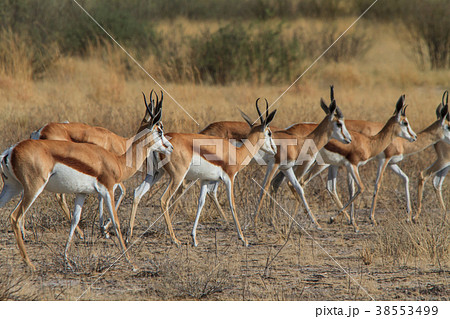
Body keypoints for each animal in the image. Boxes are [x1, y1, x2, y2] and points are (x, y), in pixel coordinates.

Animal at [0, 93, 172, 270]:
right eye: (160, 131)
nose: (170, 147)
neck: (118, 160)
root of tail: (11, 151)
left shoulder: (82, 193)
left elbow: (75, 220)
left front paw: (67, 259)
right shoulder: (108, 189)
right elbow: (116, 222)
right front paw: (131, 262)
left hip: (13, 187)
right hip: (34, 188)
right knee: (15, 216)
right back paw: (30, 263)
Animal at [128, 99, 278, 246]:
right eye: (269, 133)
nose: (275, 149)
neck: (237, 152)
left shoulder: (205, 180)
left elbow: (201, 203)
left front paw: (194, 238)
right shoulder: (229, 178)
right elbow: (232, 204)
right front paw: (243, 239)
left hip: (156, 174)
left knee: (137, 192)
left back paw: (129, 236)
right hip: (177, 176)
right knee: (164, 200)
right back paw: (175, 239)